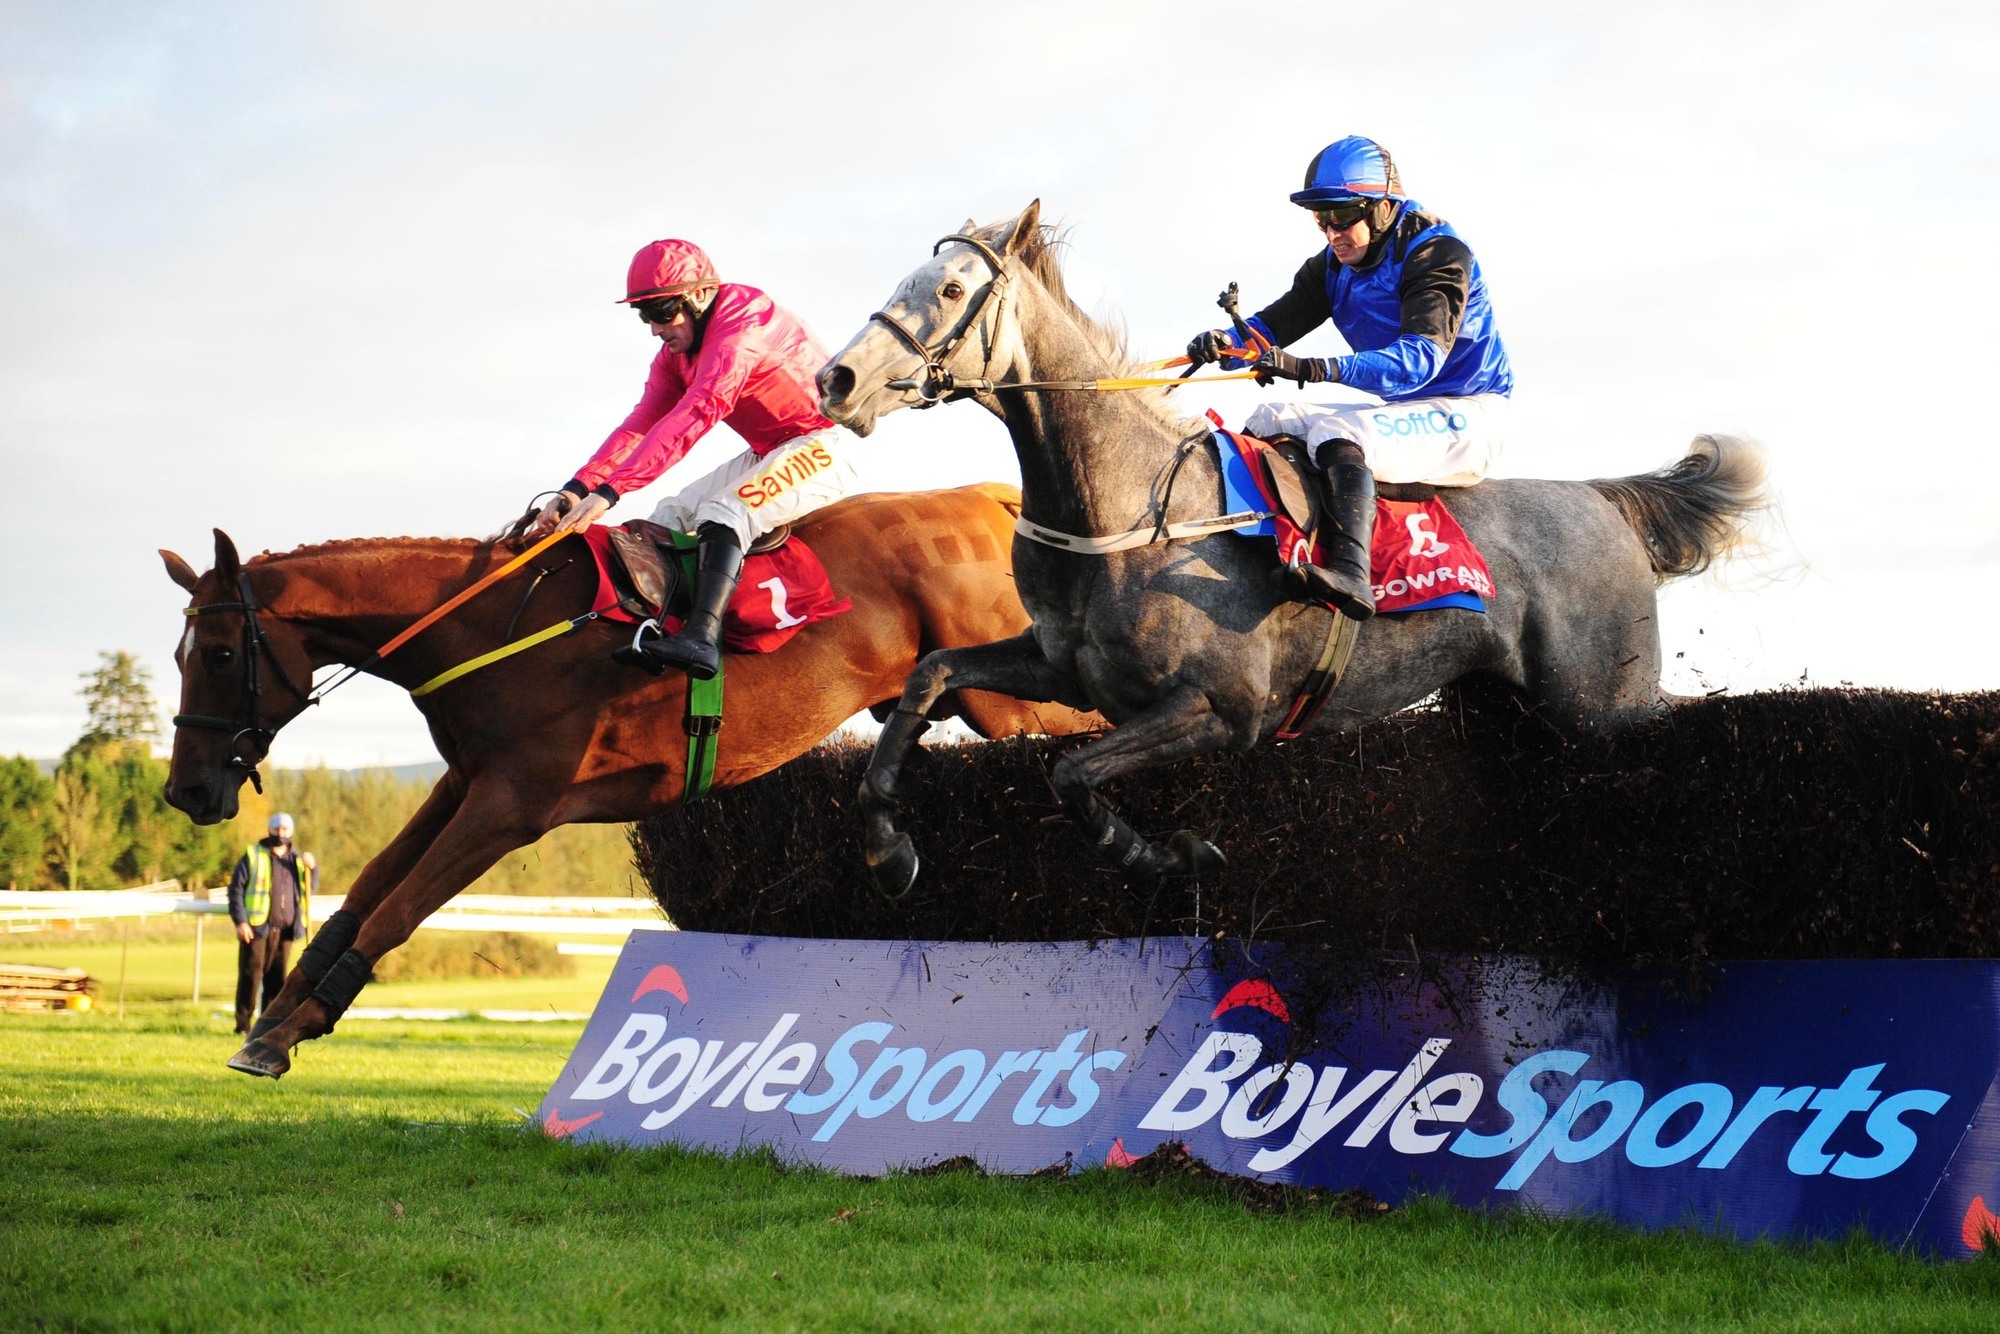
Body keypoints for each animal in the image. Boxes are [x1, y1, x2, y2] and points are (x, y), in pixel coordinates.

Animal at [161, 483, 1102, 1078]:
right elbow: (364, 894)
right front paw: (278, 1020)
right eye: (179, 654)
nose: (186, 793)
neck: (484, 629)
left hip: (1009, 697)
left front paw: (288, 1029)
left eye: (219, 654)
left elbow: (397, 909)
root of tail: (985, 499)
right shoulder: (462, 784)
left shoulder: (512, 804)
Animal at [814, 202, 1769, 893]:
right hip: (1511, 705)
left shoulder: (1222, 707)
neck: (1127, 504)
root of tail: (1605, 498)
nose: (837, 379)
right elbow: (932, 676)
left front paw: (1169, 856)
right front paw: (886, 847)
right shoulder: (1065, 670)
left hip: (1603, 704)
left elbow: (1073, 773)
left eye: (950, 291)